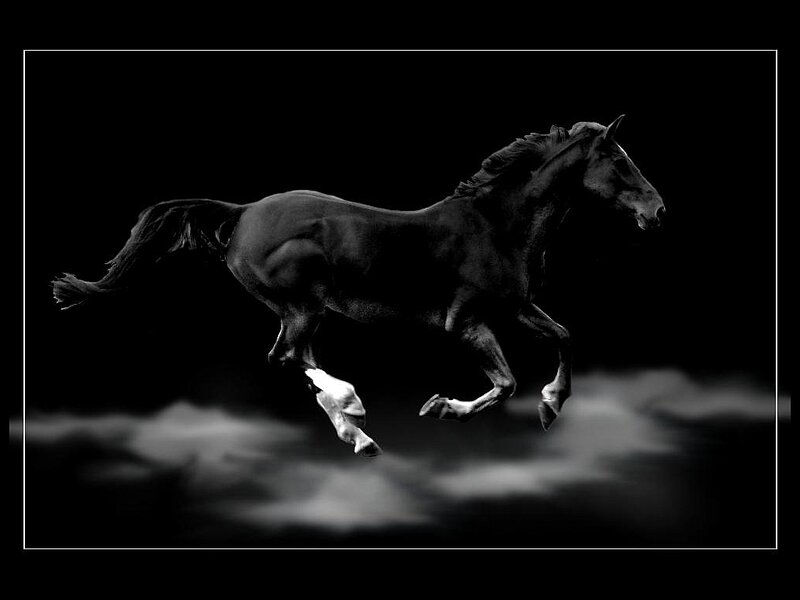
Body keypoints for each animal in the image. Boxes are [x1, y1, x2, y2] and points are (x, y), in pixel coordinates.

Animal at [52, 115, 665, 457]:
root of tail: (243, 212)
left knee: (298, 360)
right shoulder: (466, 320)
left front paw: (550, 406)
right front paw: (442, 407)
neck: (498, 225)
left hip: (307, 310)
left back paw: (358, 433)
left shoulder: (517, 306)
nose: (658, 211)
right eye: (619, 160)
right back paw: (353, 408)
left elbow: (563, 336)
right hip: (302, 303)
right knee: (287, 357)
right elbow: (506, 381)